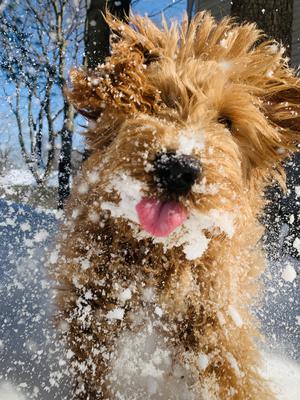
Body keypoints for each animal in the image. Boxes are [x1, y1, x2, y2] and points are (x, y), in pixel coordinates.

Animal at [52, 11, 300, 400]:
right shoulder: (94, 281)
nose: (178, 168)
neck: (162, 249)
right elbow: (90, 349)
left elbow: (230, 365)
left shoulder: (212, 303)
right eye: (155, 99)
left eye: (227, 121)